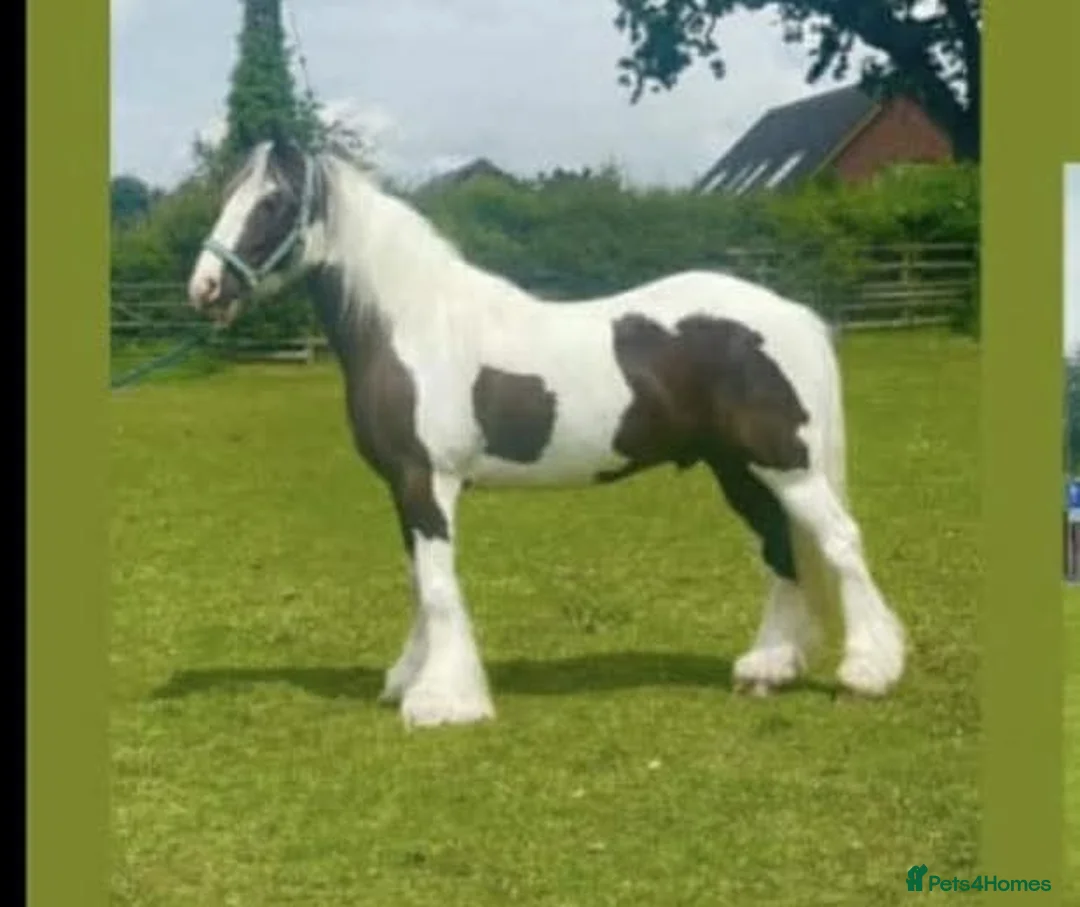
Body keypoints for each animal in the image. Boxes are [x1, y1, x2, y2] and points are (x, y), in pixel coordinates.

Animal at [186, 138, 906, 728]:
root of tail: (793, 314)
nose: (205, 287)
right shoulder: (403, 486)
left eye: (272, 202)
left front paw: (444, 701)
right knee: (780, 549)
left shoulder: (428, 481)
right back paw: (767, 668)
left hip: (787, 464)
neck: (415, 326)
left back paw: (866, 673)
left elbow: (438, 587)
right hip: (738, 468)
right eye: (227, 196)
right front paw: (411, 679)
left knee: (841, 543)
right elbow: (421, 581)